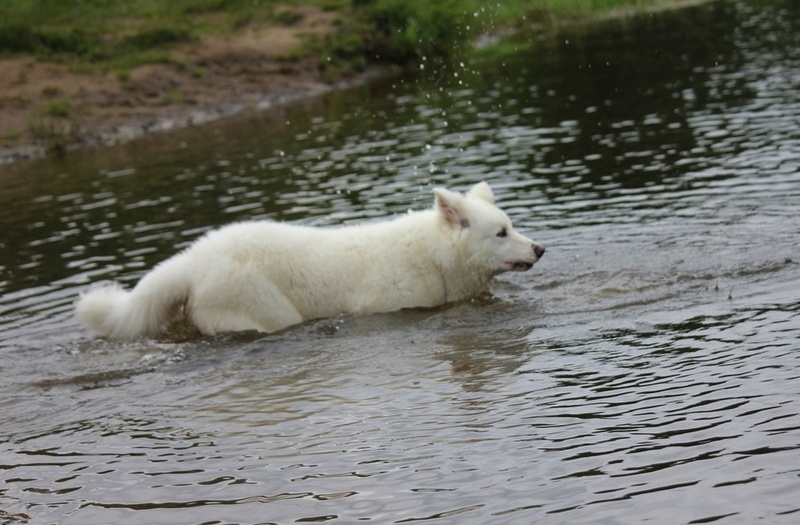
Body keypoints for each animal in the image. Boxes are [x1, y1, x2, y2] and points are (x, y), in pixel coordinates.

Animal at [76, 182, 544, 338]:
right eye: (501, 233)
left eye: (512, 226)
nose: (539, 248)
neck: (432, 254)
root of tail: (191, 261)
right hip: (266, 310)